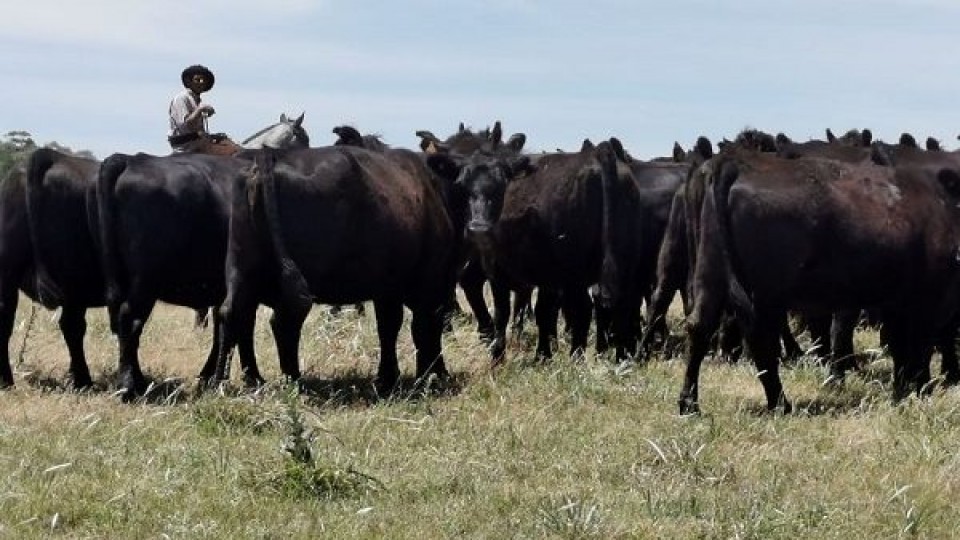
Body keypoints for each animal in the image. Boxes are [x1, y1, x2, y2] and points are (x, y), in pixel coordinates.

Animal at [216, 144, 464, 392]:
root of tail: (270, 156)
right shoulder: (426, 280)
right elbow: (421, 327)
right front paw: (426, 376)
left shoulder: (388, 287)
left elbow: (389, 326)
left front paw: (390, 377)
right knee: (284, 320)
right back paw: (294, 381)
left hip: (242, 266)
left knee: (234, 313)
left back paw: (227, 381)